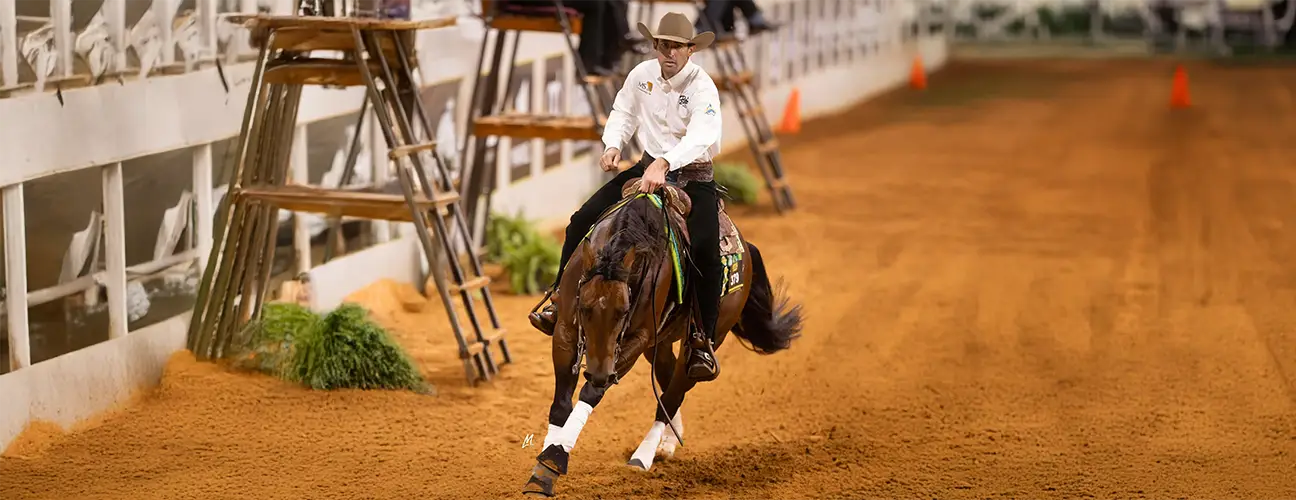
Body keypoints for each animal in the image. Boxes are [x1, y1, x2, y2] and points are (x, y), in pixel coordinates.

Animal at [522, 178, 805, 498]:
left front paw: (553, 460)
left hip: (703, 342)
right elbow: (561, 404)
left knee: (674, 392)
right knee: (667, 379)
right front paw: (542, 472)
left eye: (624, 310)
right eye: (584, 307)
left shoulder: (634, 342)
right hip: (660, 343)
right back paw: (668, 441)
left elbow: (589, 395)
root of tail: (745, 246)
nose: (598, 373)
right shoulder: (565, 333)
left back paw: (643, 455)